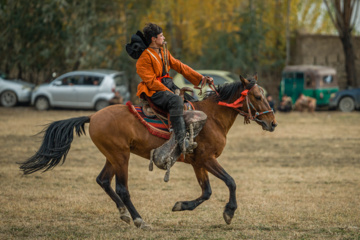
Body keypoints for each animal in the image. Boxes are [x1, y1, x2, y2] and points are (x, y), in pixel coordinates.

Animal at [19, 75, 276, 229]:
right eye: (258, 96)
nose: (272, 123)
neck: (211, 118)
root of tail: (93, 115)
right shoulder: (206, 159)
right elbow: (230, 182)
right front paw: (229, 212)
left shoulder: (198, 163)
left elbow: (207, 192)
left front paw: (181, 205)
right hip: (121, 157)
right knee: (122, 188)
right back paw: (138, 219)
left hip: (113, 156)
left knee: (103, 181)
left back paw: (124, 213)